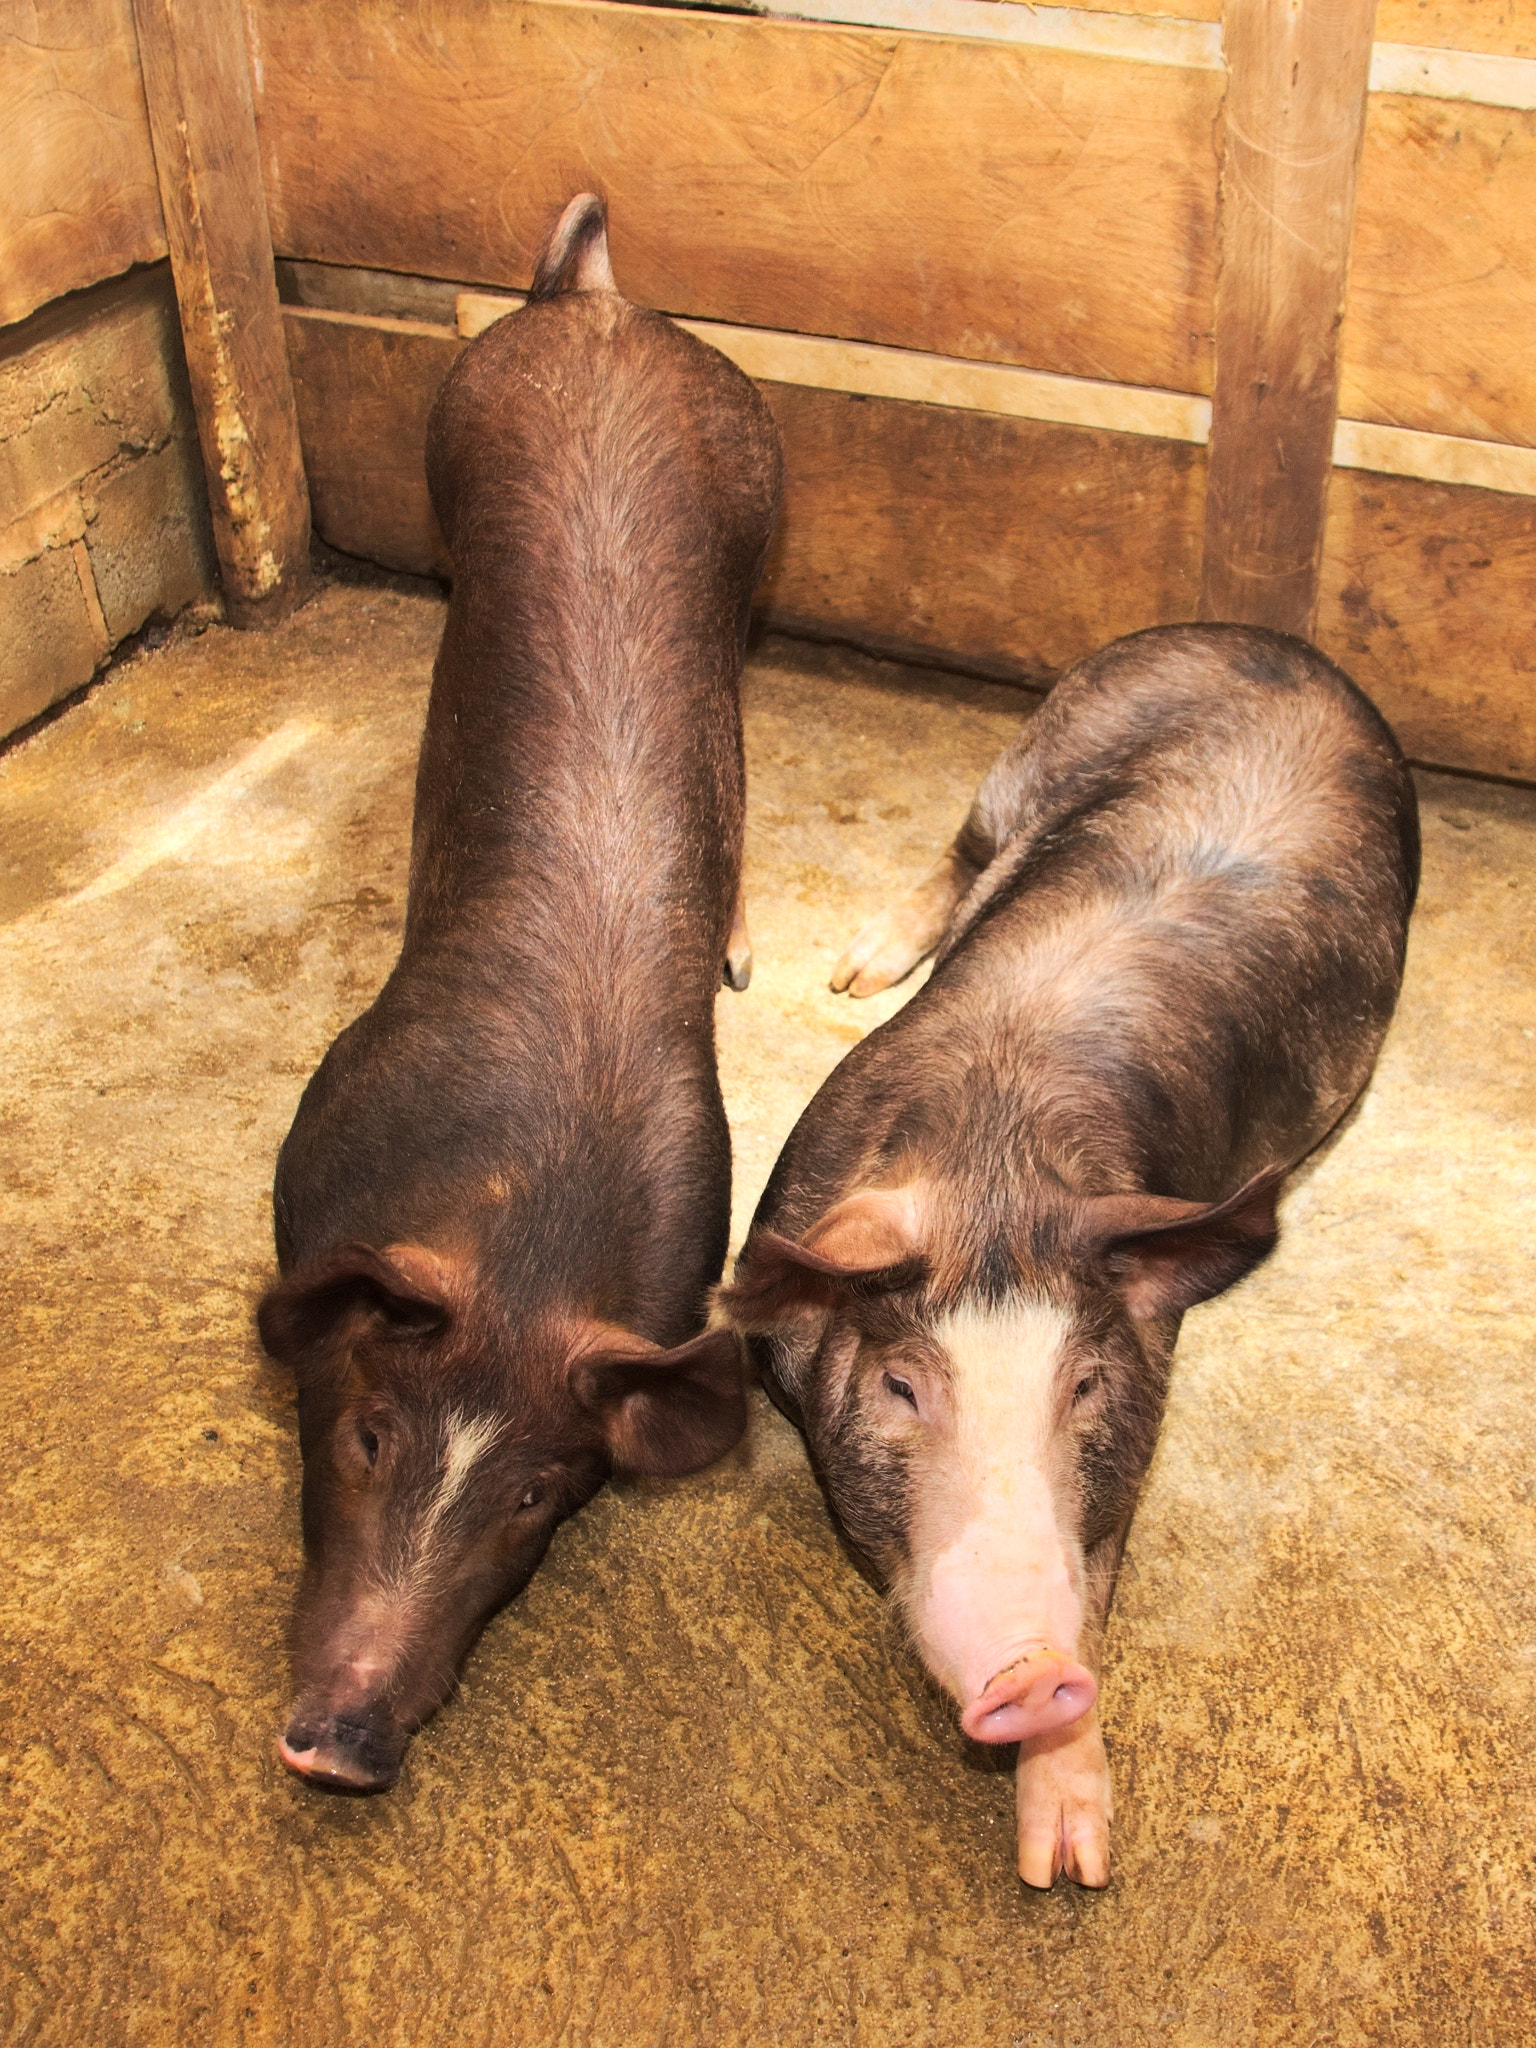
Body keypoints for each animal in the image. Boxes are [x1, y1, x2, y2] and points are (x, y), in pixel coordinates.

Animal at [720, 624, 1418, 1887]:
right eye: (900, 1384)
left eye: (1086, 1382)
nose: (1036, 1670)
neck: (994, 1159)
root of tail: (1266, 639)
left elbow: (1098, 1568)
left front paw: (1074, 1862)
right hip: (1041, 746)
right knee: (964, 847)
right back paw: (851, 970)